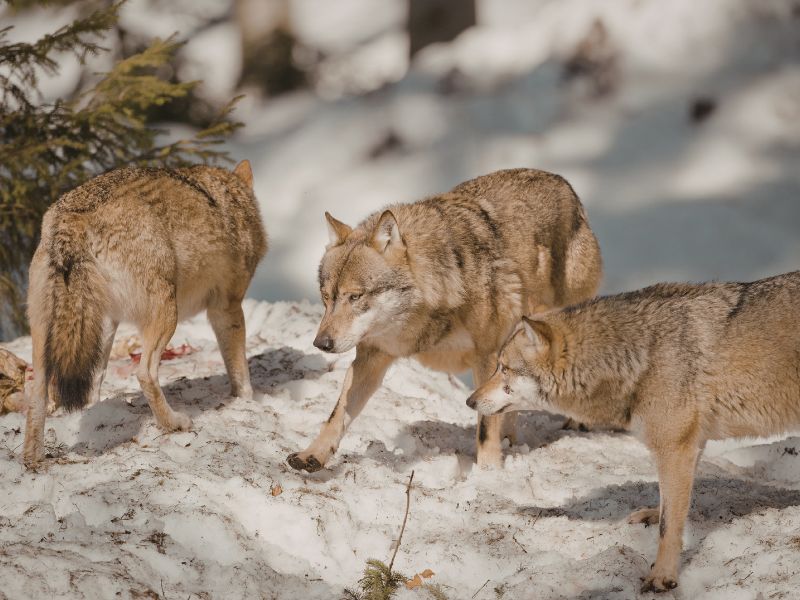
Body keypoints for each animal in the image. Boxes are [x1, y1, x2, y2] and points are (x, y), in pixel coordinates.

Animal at [22, 161, 267, 467]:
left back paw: (33, 459)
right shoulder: (227, 307)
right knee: (145, 374)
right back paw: (174, 423)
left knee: (46, 391)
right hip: (166, 314)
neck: (233, 201)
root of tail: (71, 217)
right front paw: (249, 402)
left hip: (75, 331)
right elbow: (240, 372)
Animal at [286, 168, 602, 472]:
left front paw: (488, 473)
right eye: (326, 297)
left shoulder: (487, 356)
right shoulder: (370, 357)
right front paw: (311, 456)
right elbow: (337, 414)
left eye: (355, 297)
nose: (321, 344)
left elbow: (485, 428)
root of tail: (564, 184)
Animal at [466, 270, 800, 592]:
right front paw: (653, 514)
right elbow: (667, 506)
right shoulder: (687, 445)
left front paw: (661, 578)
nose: (470, 401)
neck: (639, 357)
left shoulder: (675, 448)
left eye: (504, 369)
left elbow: (669, 527)